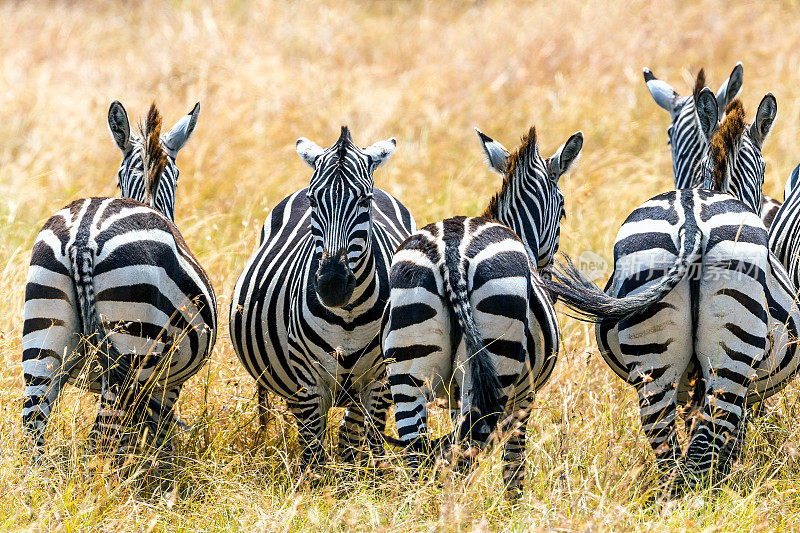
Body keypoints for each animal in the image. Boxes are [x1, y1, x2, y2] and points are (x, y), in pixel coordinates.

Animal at [22, 103, 216, 458]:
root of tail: (83, 236)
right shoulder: (167, 382)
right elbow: (156, 432)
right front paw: (157, 465)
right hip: (131, 344)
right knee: (103, 441)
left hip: (43, 336)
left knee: (33, 433)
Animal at [228, 127, 416, 468]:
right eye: (314, 200)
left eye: (364, 200)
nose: (333, 286)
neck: (349, 315)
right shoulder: (309, 380)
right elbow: (313, 448)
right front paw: (317, 478)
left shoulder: (377, 379)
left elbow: (358, 440)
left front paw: (356, 476)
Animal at [382, 123, 580, 494]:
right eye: (562, 210)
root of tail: (452, 251)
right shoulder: (524, 397)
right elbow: (514, 460)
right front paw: (514, 502)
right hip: (496, 365)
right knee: (465, 451)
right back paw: (459, 505)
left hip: (407, 366)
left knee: (420, 451)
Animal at [548, 89, 796, 492]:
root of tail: (692, 222)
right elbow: (733, 435)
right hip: (732, 357)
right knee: (702, 452)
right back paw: (708, 499)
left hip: (651, 353)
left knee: (667, 448)